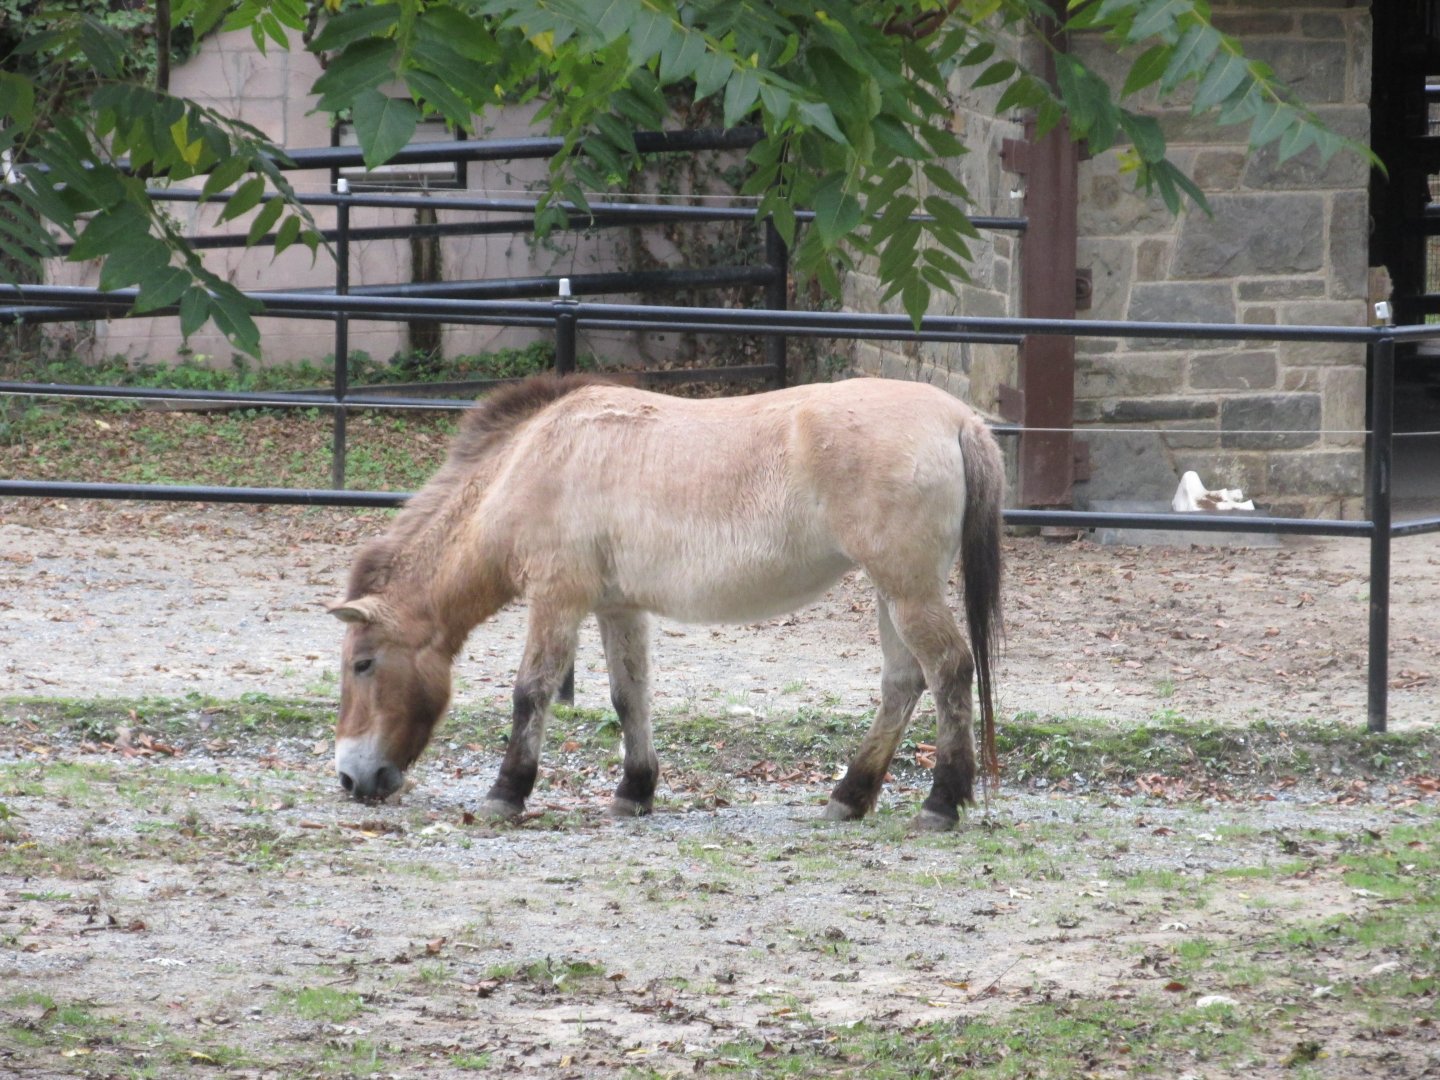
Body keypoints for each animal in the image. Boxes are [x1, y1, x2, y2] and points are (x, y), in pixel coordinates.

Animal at [328, 373, 1005, 830]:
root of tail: (958, 419)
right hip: (892, 592)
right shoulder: (617, 607)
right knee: (902, 684)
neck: (534, 461)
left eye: (362, 664)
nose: (351, 777)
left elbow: (531, 692)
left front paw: (507, 793)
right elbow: (630, 697)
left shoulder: (558, 599)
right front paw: (635, 791)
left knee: (948, 670)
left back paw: (941, 802)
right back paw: (850, 797)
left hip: (907, 590)